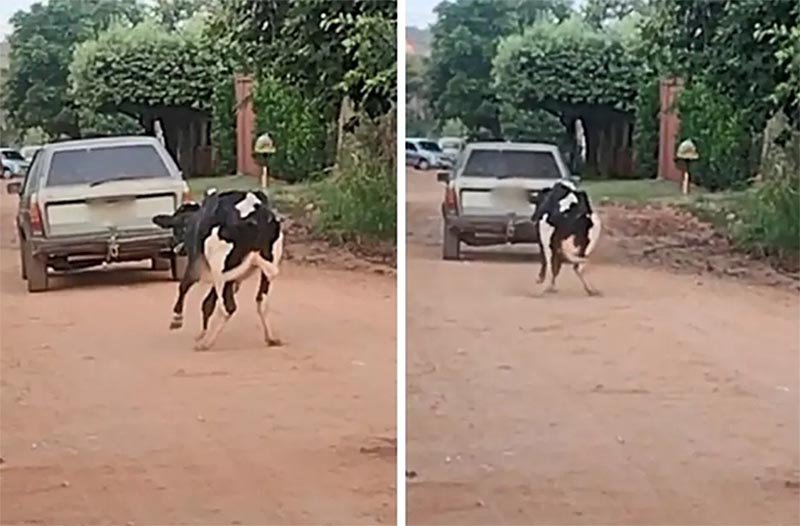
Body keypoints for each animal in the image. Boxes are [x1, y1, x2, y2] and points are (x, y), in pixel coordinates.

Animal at [153, 190, 284, 350]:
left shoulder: (196, 264)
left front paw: (177, 319)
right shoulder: (229, 278)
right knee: (261, 302)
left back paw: (206, 343)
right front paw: (202, 332)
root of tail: (257, 216)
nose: (172, 244)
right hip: (262, 267)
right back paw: (271, 338)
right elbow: (208, 303)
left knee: (228, 307)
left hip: (219, 266)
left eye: (177, 228)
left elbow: (184, 286)